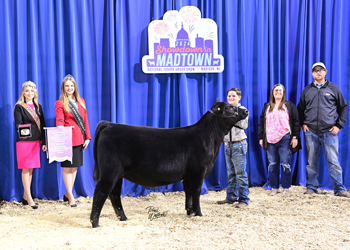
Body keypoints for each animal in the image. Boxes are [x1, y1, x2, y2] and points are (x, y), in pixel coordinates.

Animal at [90, 100, 249, 228]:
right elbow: (196, 192)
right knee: (101, 193)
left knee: (114, 195)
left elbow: (188, 193)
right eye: (229, 107)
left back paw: (123, 218)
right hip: (109, 172)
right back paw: (95, 223)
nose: (246, 111)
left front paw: (190, 212)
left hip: (119, 174)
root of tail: (109, 124)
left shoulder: (188, 176)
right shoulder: (198, 172)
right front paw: (199, 213)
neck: (210, 137)